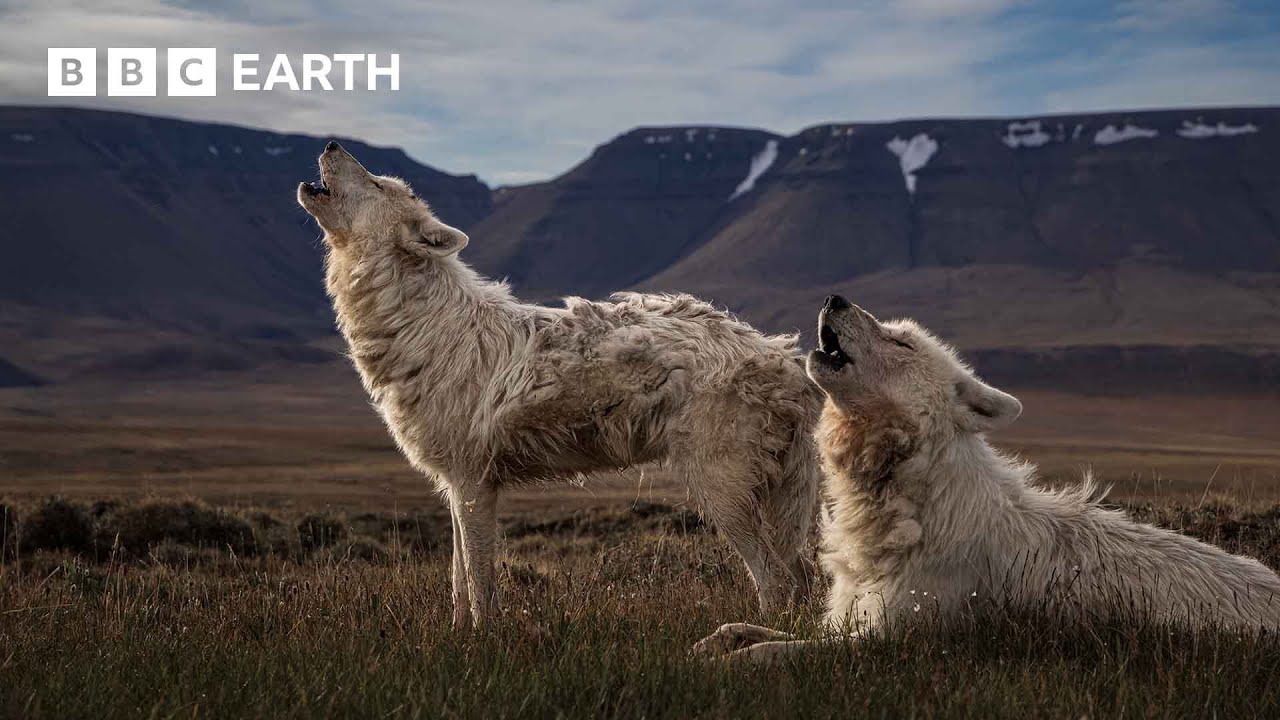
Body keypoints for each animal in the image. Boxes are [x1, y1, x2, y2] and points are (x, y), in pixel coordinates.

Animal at [297, 142, 821, 627]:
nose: (330, 144)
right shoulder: (452, 486)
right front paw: (457, 639)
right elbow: (458, 583)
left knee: (777, 582)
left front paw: (483, 645)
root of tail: (790, 360)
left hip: (720, 494)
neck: (421, 323)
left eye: (377, 183)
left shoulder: (473, 484)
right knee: (801, 577)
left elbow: (481, 585)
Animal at [696, 295, 1280, 663]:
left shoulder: (891, 642)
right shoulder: (847, 617)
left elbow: (777, 651)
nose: (835, 297)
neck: (907, 504)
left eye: (902, 343)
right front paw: (713, 642)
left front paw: (728, 663)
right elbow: (752, 628)